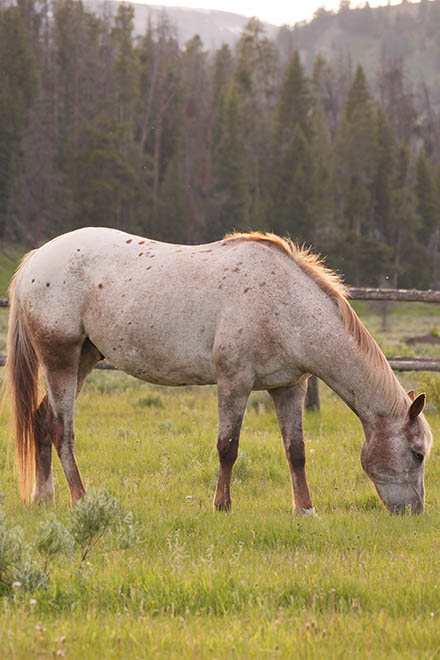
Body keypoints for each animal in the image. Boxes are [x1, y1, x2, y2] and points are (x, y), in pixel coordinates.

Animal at [4, 229, 434, 512]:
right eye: (417, 455)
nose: (415, 512)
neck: (285, 304)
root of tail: (35, 260)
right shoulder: (234, 383)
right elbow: (228, 447)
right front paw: (222, 505)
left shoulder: (289, 388)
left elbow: (296, 451)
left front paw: (305, 510)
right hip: (60, 359)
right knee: (62, 429)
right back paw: (80, 500)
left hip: (84, 359)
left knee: (41, 419)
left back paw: (44, 498)